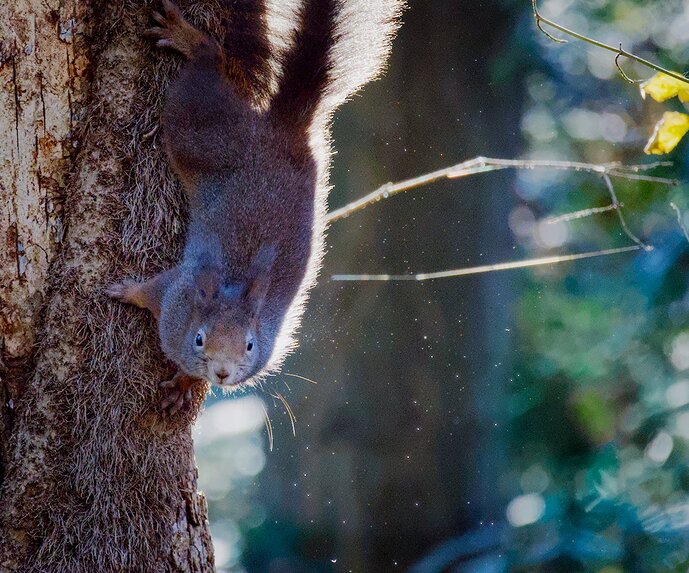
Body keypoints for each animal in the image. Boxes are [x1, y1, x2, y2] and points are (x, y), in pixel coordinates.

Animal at [106, 0, 402, 413]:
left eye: (249, 345)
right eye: (200, 338)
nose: (222, 372)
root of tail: (285, 130)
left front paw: (183, 383)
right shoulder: (174, 293)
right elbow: (148, 290)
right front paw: (124, 291)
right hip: (202, 132)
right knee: (205, 75)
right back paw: (192, 41)